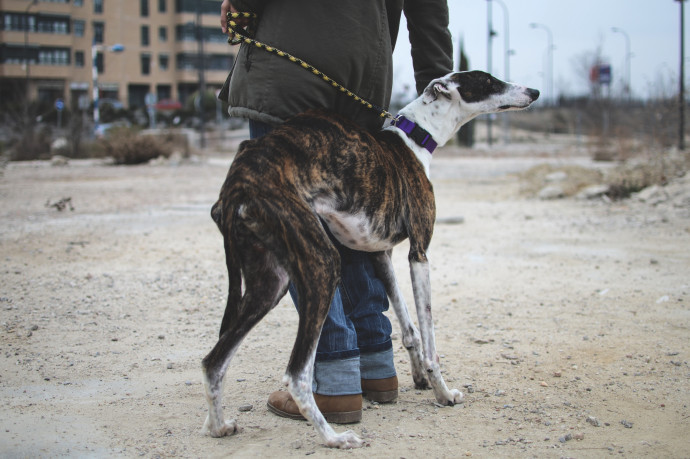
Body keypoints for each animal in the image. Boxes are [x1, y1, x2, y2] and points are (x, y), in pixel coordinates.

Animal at [200, 72, 536, 450]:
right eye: (489, 81)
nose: (534, 91)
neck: (414, 137)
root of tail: (236, 186)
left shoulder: (380, 254)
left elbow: (409, 328)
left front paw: (419, 377)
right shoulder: (419, 253)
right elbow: (429, 336)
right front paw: (443, 392)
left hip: (269, 283)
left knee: (213, 361)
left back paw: (218, 426)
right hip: (321, 264)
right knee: (296, 373)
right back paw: (333, 437)